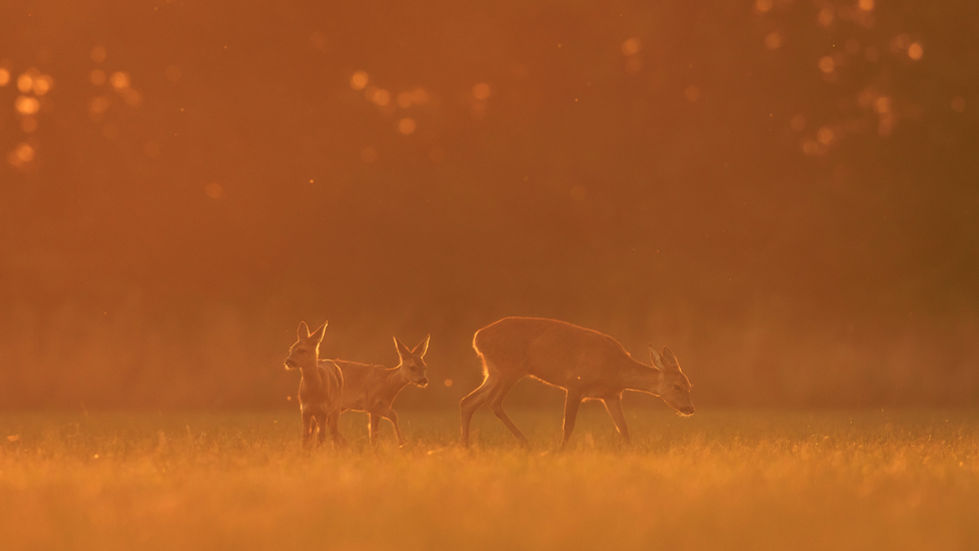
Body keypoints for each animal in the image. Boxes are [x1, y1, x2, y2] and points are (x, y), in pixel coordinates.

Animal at [460, 316, 694, 448]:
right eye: (677, 386)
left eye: (690, 386)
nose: (690, 408)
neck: (616, 370)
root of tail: (477, 337)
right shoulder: (575, 384)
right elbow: (568, 426)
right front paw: (560, 451)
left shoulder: (611, 395)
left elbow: (623, 428)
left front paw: (632, 454)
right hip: (509, 369)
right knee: (492, 402)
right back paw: (526, 444)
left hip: (493, 372)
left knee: (468, 401)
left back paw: (467, 449)